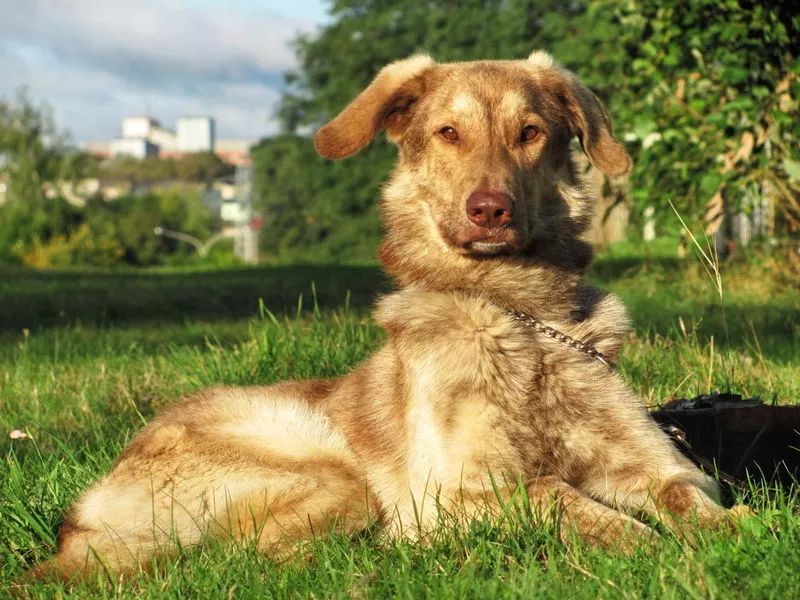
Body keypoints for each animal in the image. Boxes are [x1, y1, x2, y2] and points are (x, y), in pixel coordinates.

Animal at [26, 50, 752, 580]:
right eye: (448, 133)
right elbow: (570, 500)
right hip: (335, 474)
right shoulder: (462, 489)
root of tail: (80, 518)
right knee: (238, 561)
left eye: (530, 132)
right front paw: (652, 545)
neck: (519, 316)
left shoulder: (658, 465)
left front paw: (742, 532)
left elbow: (691, 498)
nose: (489, 209)